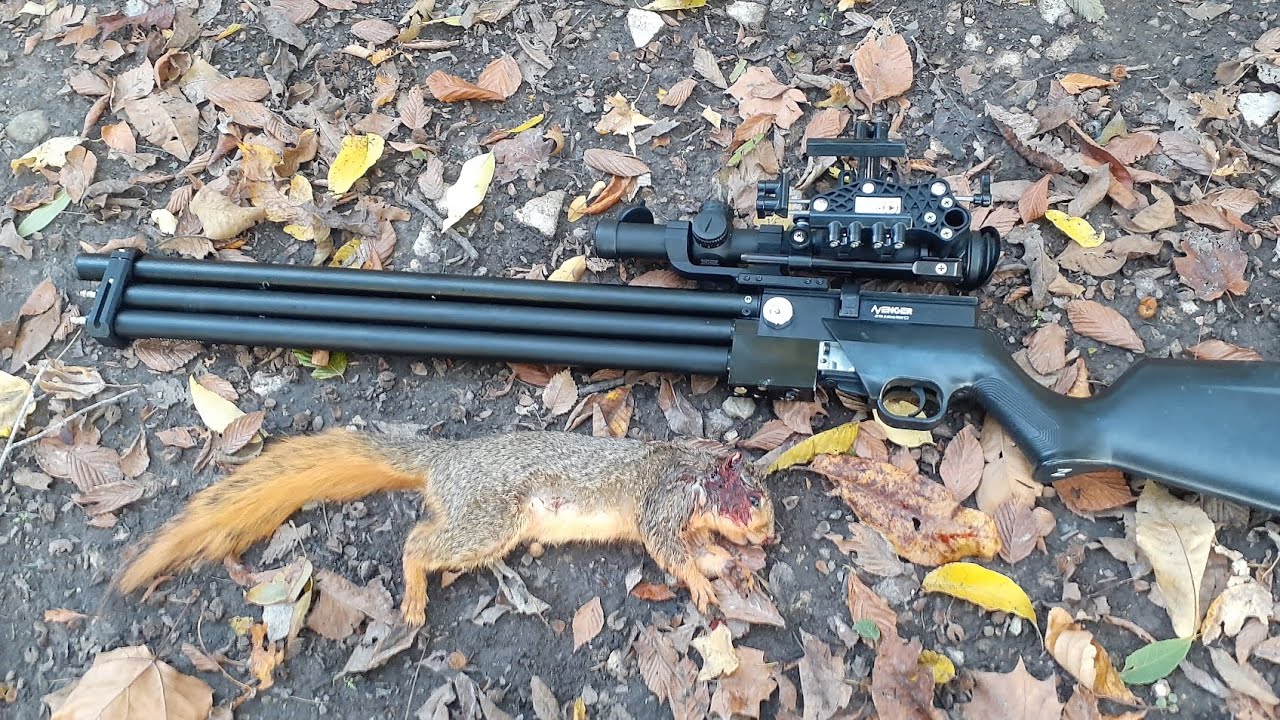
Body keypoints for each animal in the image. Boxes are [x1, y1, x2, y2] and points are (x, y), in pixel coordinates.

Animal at [114, 429, 776, 626]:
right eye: (754, 496)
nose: (769, 537)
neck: (692, 470)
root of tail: (442, 463)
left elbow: (693, 547)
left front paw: (724, 563)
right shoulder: (663, 502)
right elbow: (668, 548)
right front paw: (703, 581)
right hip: (491, 516)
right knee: (418, 542)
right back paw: (411, 592)